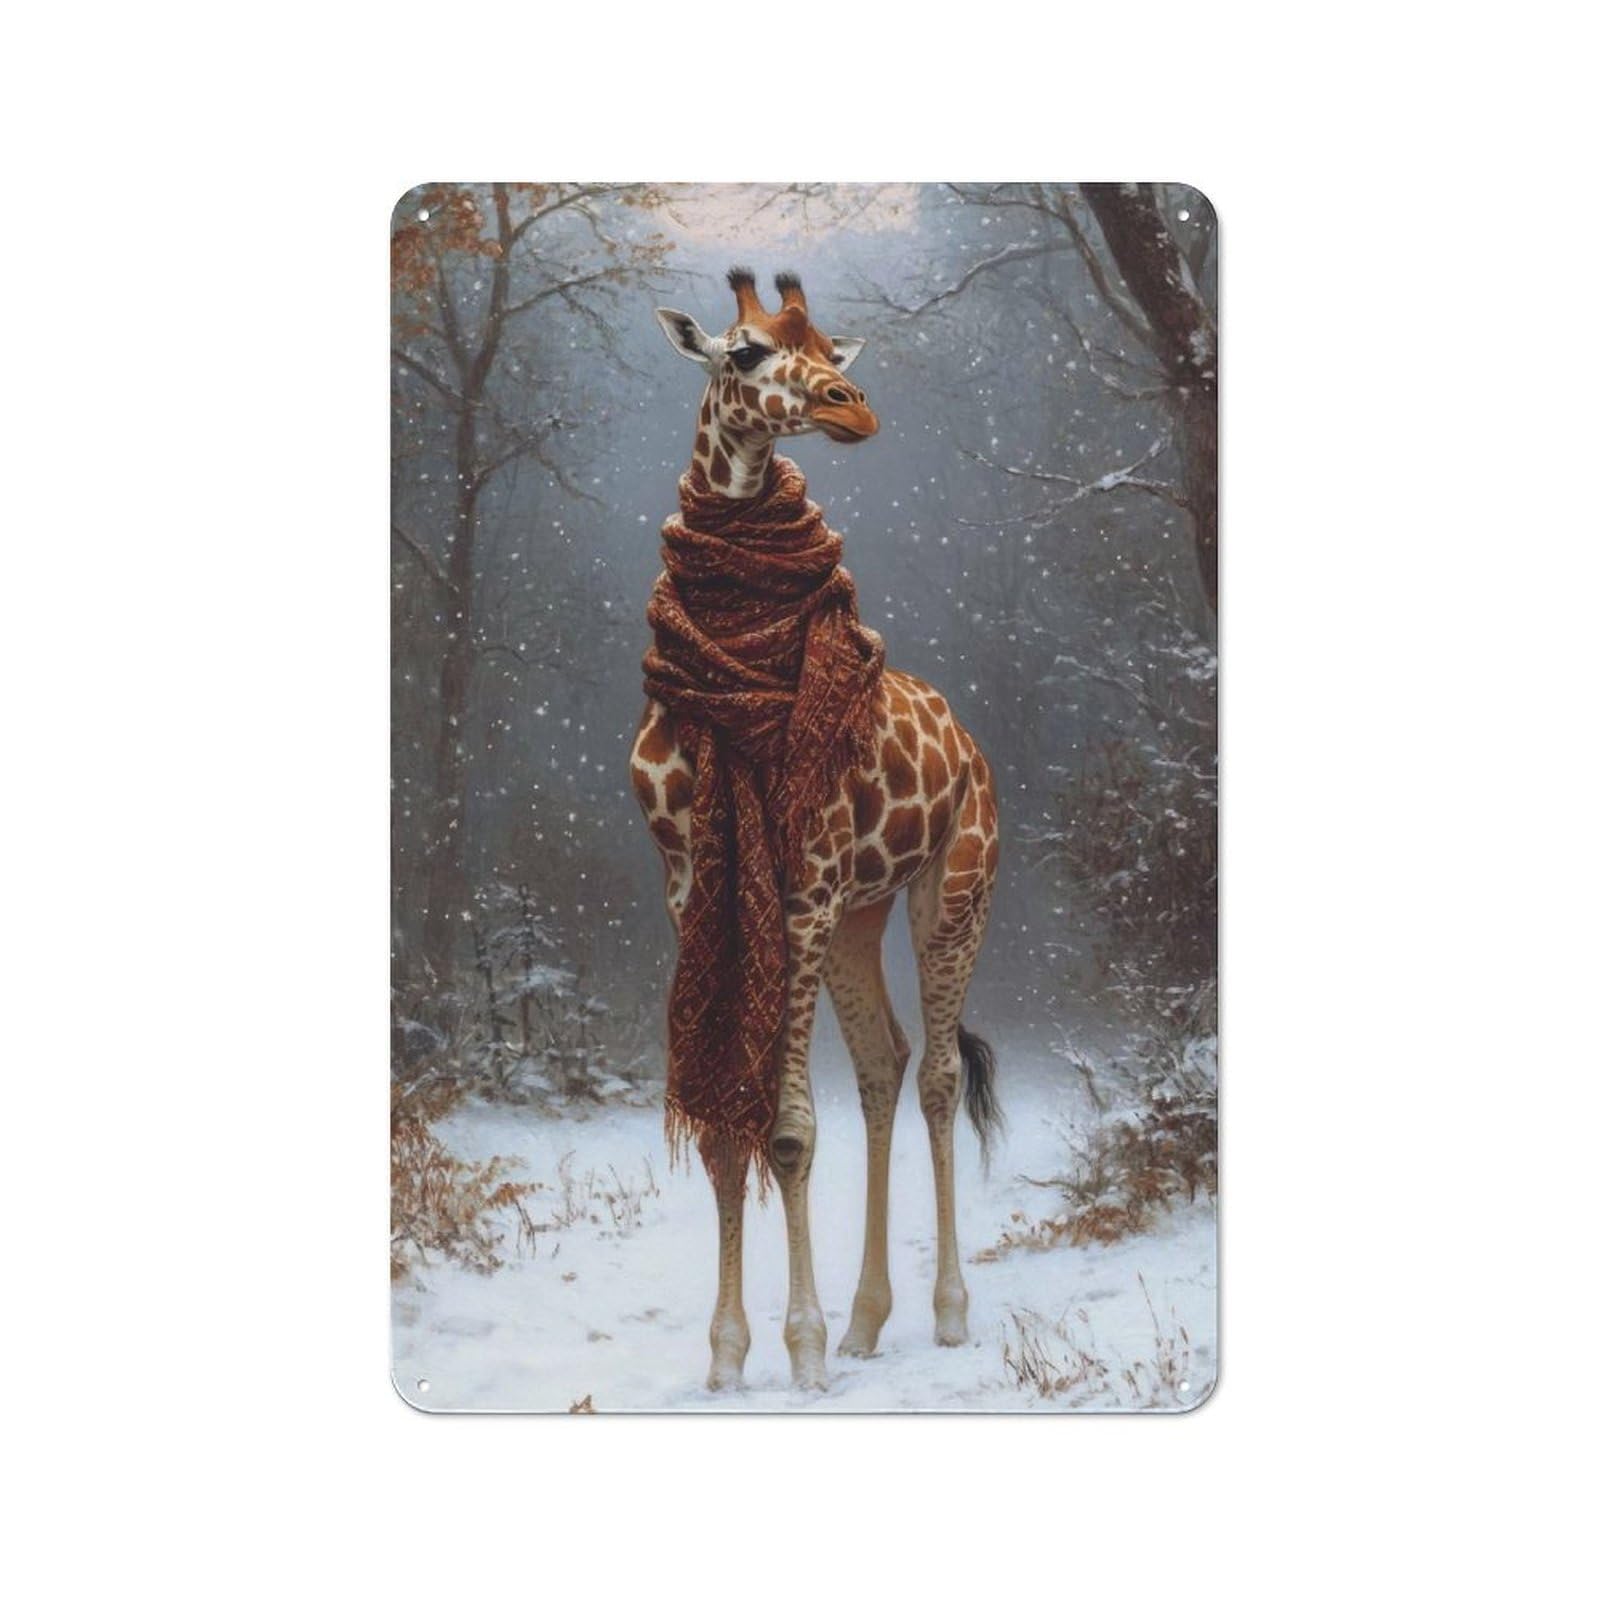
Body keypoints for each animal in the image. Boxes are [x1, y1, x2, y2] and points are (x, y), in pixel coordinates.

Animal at [633, 268, 1001, 1392]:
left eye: (838, 352)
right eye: (745, 351)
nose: (853, 408)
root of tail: (971, 747)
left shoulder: (797, 888)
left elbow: (789, 1130)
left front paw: (797, 1353)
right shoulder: (694, 888)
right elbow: (728, 1126)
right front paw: (726, 1358)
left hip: (951, 889)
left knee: (935, 1074)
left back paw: (947, 1314)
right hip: (856, 915)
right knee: (884, 1066)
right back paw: (868, 1323)